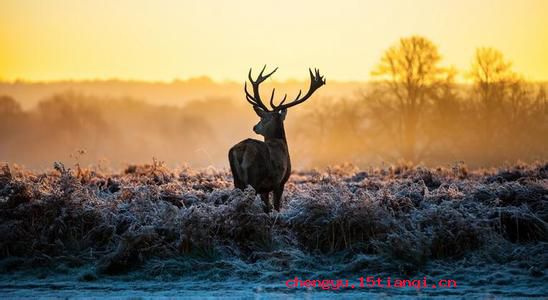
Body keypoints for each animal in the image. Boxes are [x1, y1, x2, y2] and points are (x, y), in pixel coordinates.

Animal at [228, 66, 326, 212]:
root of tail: (242, 150)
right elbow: (276, 207)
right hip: (254, 178)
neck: (281, 142)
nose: (255, 127)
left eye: (262, 118)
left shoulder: (265, 189)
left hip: (237, 180)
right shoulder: (280, 182)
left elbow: (267, 207)